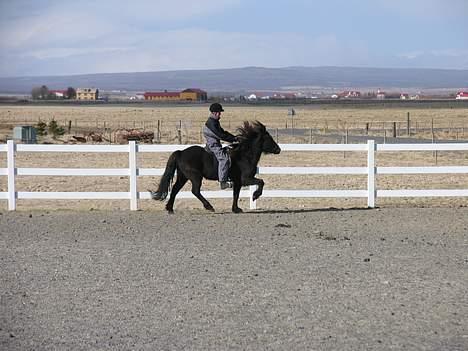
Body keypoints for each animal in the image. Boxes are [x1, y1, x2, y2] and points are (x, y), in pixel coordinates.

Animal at [152, 122, 280, 213]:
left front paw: (236, 209)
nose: (278, 149)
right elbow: (261, 182)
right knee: (195, 191)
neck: (244, 156)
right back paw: (209, 206)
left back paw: (170, 209)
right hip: (195, 177)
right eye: (269, 138)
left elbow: (236, 194)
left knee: (175, 189)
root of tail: (181, 152)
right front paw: (255, 195)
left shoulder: (238, 182)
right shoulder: (246, 179)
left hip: (183, 177)